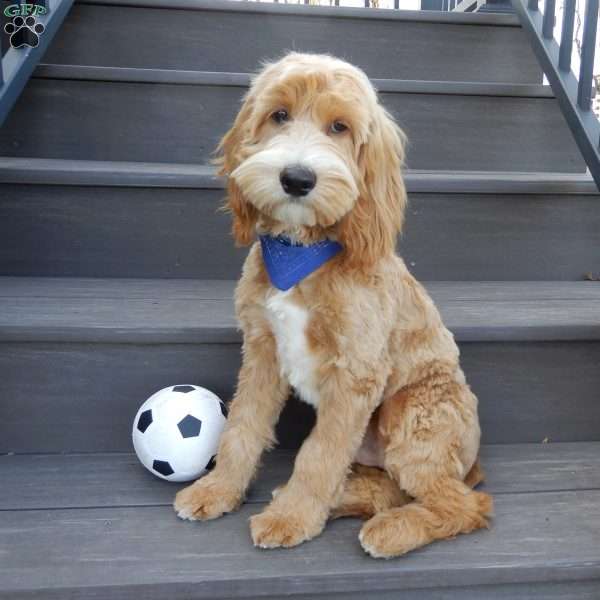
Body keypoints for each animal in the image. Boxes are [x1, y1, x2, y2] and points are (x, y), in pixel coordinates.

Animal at [175, 51, 492, 556]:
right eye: (279, 114)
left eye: (339, 127)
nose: (297, 178)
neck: (300, 251)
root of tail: (471, 461)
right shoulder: (262, 350)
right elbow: (242, 427)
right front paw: (218, 489)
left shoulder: (355, 375)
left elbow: (318, 455)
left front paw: (291, 519)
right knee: (386, 487)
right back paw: (341, 501)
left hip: (413, 416)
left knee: (465, 504)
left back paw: (391, 529)